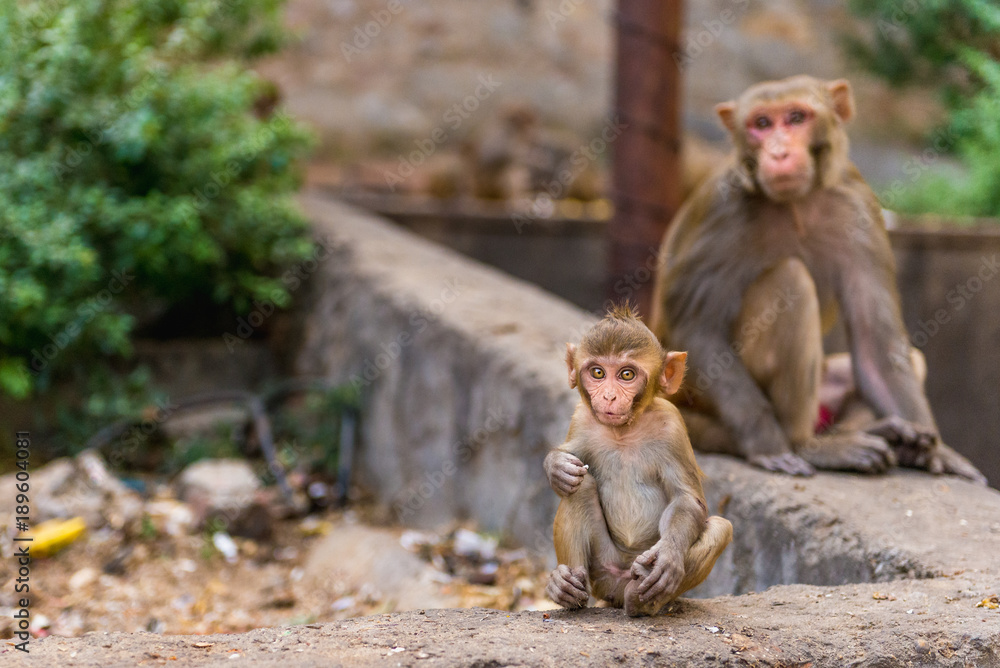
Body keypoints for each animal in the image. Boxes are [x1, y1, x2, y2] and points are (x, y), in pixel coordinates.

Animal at [548, 306, 736, 620]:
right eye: (598, 372)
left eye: (627, 374)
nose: (609, 396)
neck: (625, 431)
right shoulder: (581, 418)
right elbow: (570, 465)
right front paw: (556, 467)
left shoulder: (672, 426)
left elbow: (687, 500)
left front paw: (667, 557)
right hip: (603, 571)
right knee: (578, 487)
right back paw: (566, 587)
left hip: (634, 572)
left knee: (721, 527)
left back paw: (640, 598)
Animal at [648, 75, 984, 482]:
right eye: (761, 124)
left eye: (796, 117)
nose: (779, 152)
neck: (796, 204)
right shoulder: (723, 210)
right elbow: (696, 329)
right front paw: (769, 444)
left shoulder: (857, 206)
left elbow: (876, 343)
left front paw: (937, 451)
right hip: (699, 402)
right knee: (790, 280)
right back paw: (809, 446)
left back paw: (878, 432)